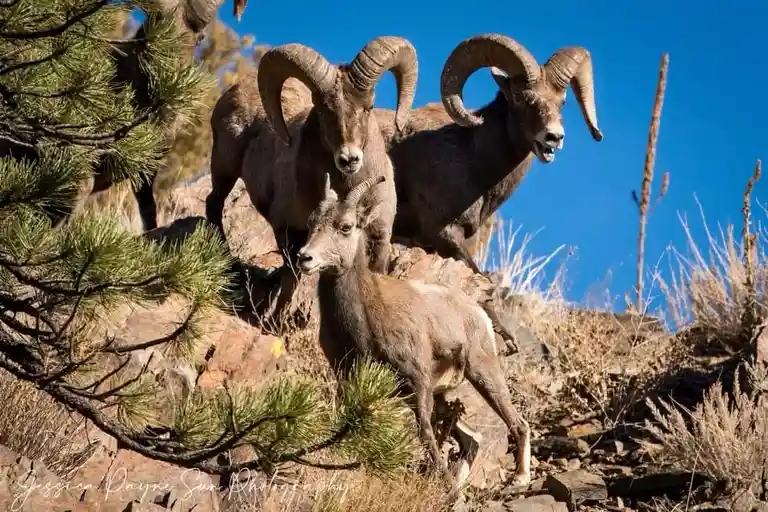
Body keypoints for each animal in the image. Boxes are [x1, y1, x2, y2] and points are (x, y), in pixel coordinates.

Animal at [205, 36, 418, 319]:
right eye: (322, 111)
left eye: (368, 107)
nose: (349, 159)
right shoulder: (289, 231)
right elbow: (292, 277)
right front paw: (274, 322)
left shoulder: (380, 237)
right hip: (224, 168)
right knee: (214, 204)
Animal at [295, 172, 532, 491]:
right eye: (312, 223)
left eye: (345, 227)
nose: (305, 258)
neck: (365, 316)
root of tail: (477, 312)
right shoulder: (347, 373)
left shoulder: (417, 381)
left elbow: (425, 433)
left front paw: (444, 483)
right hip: (444, 395)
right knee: (472, 440)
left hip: (482, 373)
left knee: (518, 423)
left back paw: (518, 479)